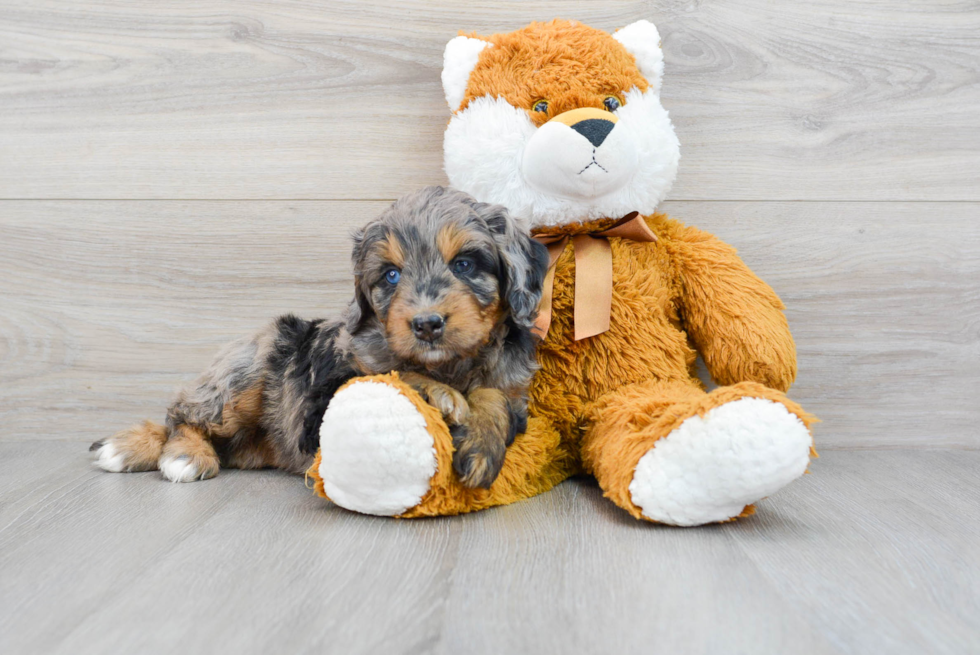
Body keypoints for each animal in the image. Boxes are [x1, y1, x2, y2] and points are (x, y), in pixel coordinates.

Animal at [90, 187, 552, 490]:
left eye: (465, 264)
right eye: (391, 275)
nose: (426, 324)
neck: (451, 364)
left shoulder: (515, 391)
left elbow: (494, 397)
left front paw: (480, 446)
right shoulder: (322, 401)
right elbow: (392, 374)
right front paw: (441, 395)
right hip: (248, 371)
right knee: (182, 414)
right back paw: (181, 455)